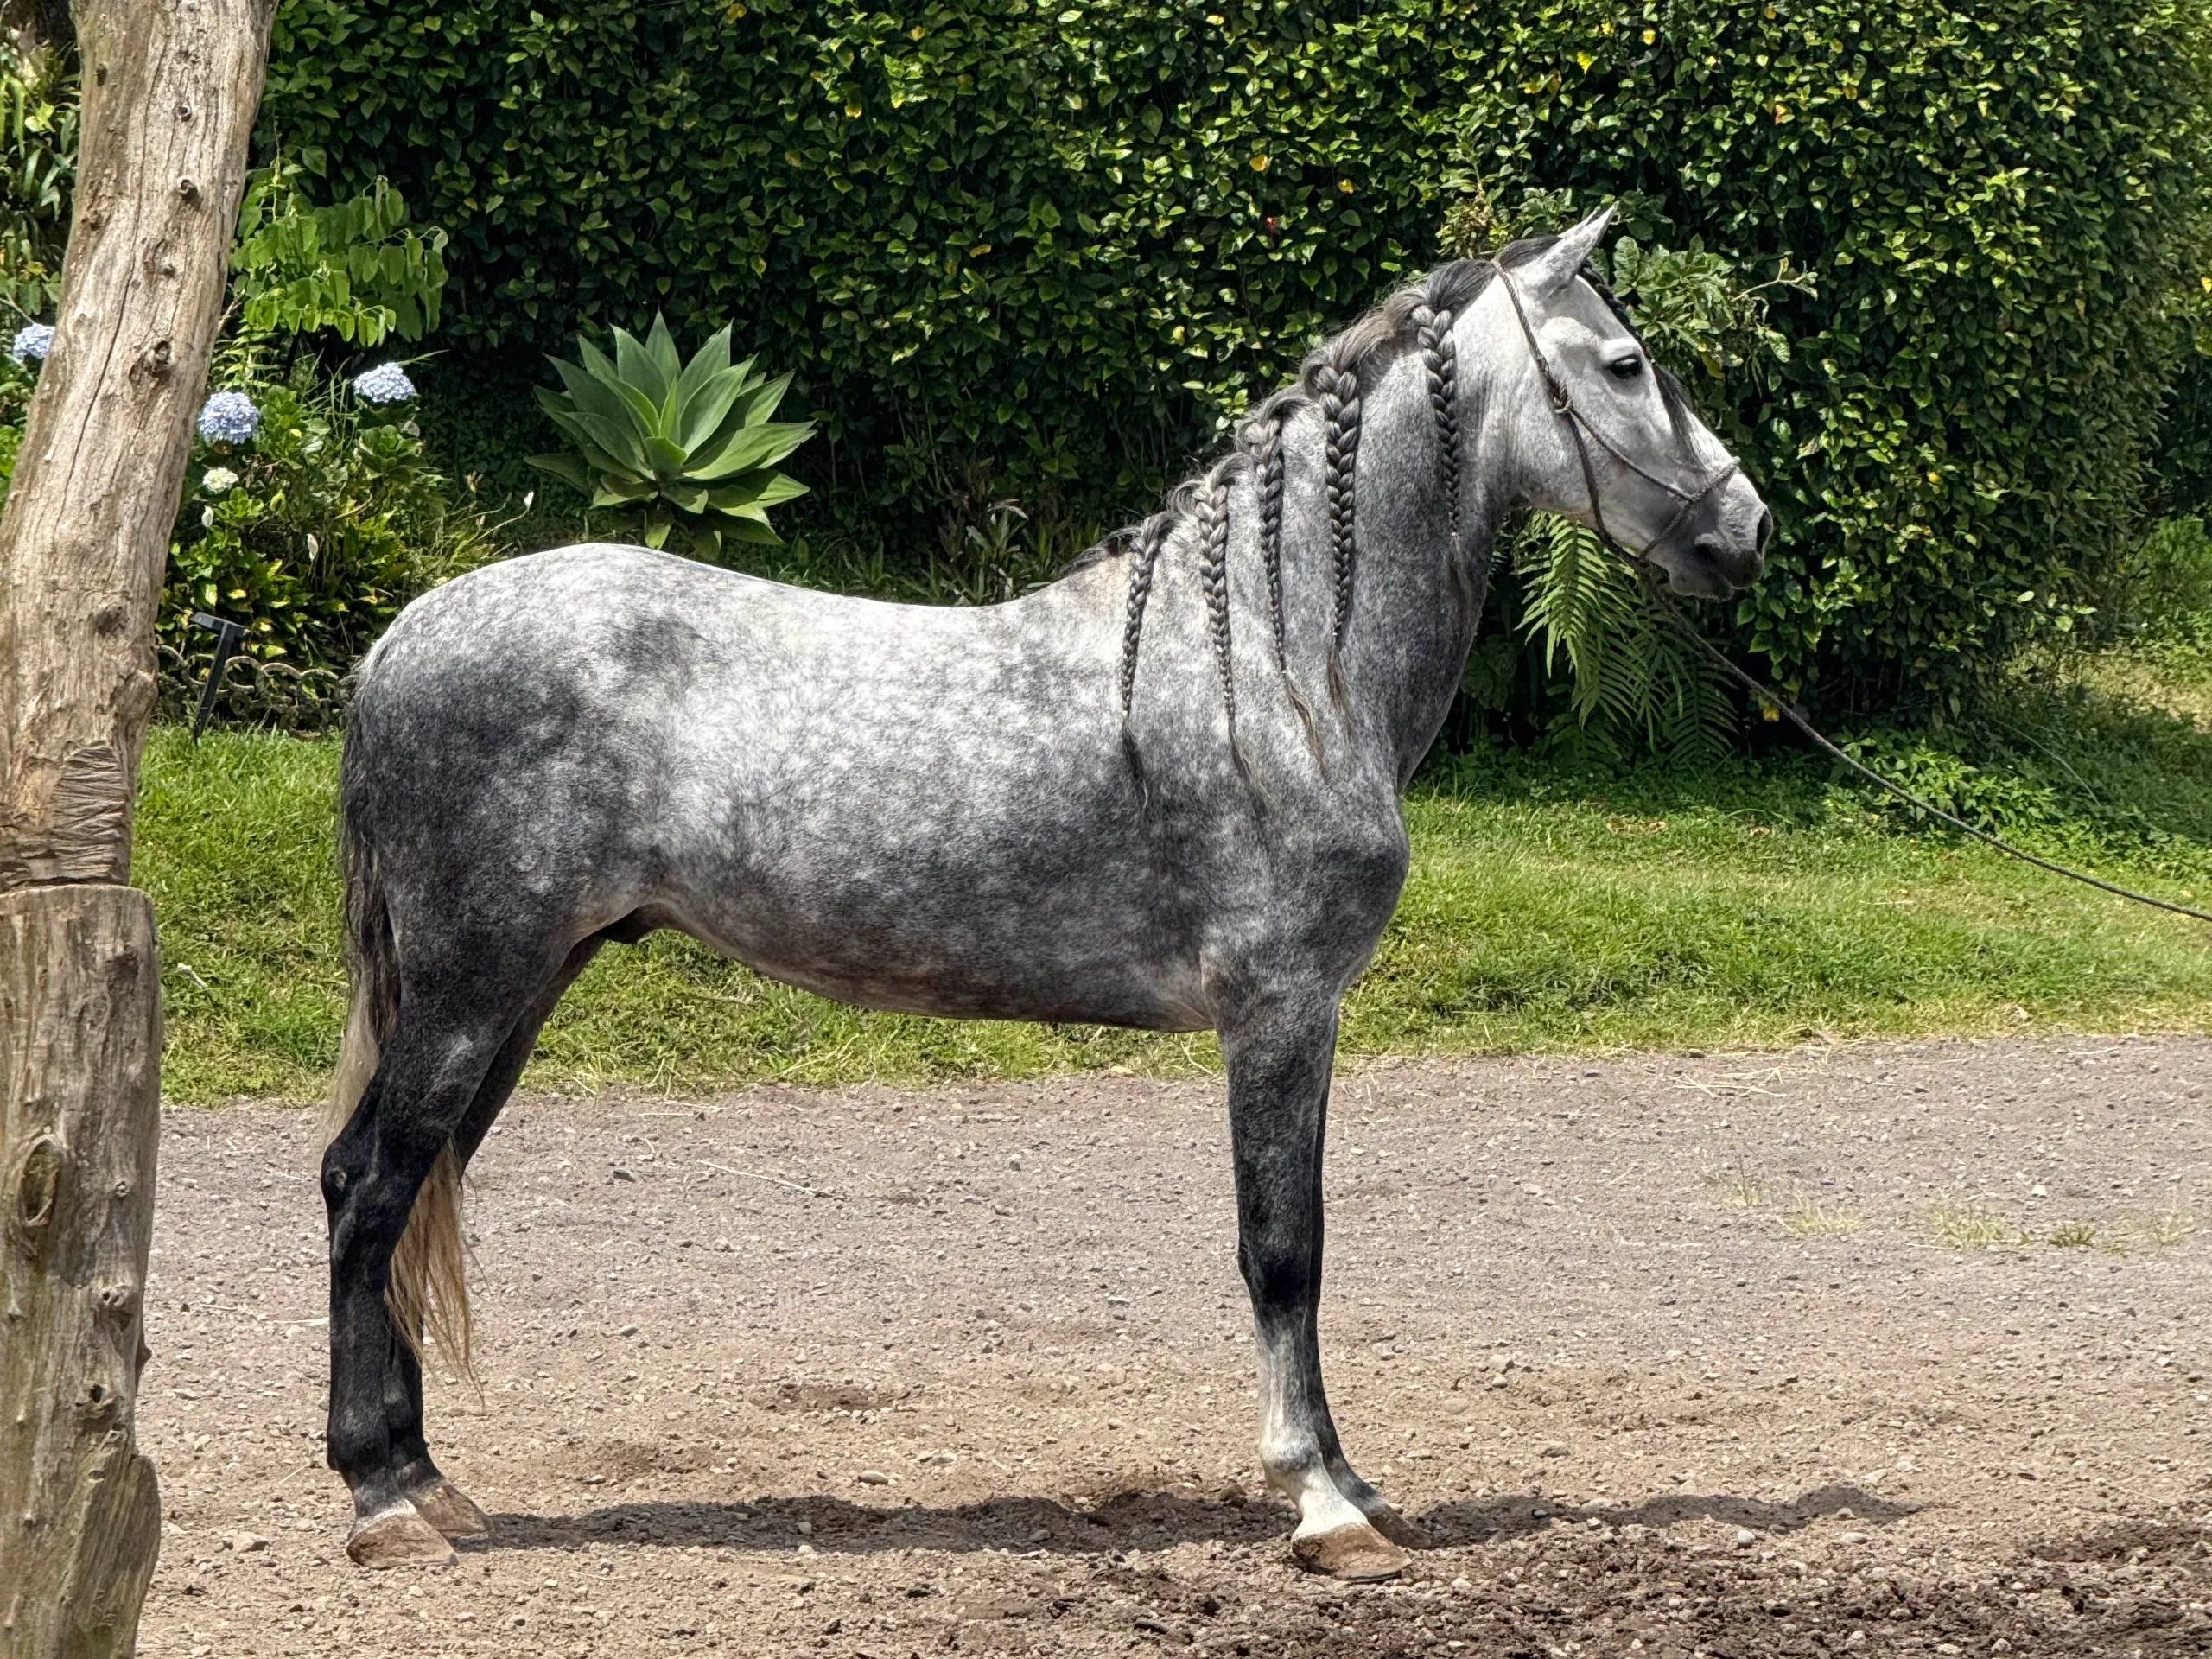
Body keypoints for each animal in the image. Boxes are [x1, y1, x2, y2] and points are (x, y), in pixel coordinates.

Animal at [320, 207, 1770, 1578]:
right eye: (1626, 363)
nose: (1745, 526)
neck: (1275, 661)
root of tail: (399, 639)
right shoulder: (1283, 1013)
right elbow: (1284, 1249)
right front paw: (1322, 1499)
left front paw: (1348, 1486)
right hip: (474, 987)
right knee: (370, 1188)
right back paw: (385, 1495)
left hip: (519, 989)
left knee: (400, 1189)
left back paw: (426, 1480)